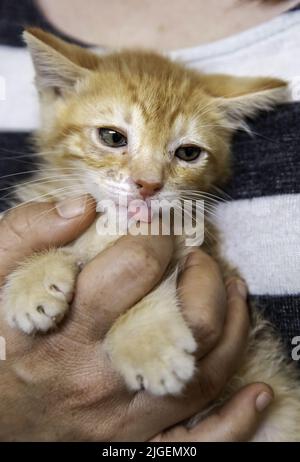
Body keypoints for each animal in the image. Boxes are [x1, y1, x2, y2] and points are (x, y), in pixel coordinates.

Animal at [1, 28, 298, 440]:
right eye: (112, 137)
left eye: (188, 153)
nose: (148, 184)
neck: (112, 228)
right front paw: (31, 283)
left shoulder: (196, 248)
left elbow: (155, 288)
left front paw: (149, 344)